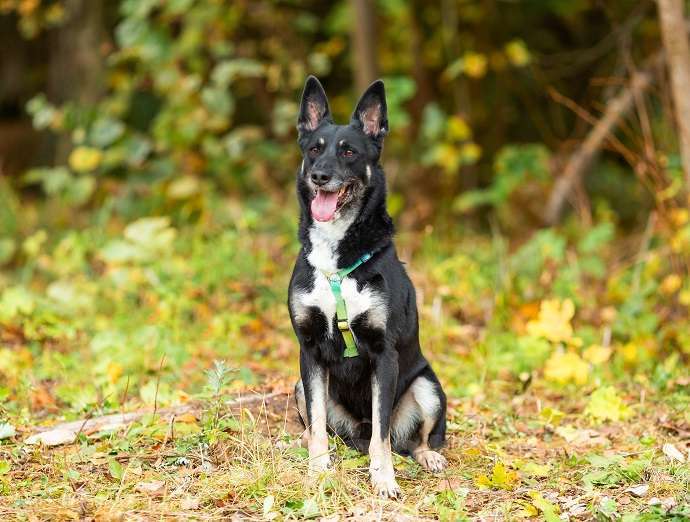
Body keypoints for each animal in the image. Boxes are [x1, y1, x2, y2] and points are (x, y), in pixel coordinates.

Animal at [288, 74, 446, 496]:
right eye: (314, 149)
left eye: (348, 152)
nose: (319, 176)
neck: (338, 257)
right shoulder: (309, 351)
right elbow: (318, 428)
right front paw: (318, 472)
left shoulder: (383, 353)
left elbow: (382, 433)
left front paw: (383, 479)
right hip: (298, 386)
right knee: (320, 427)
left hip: (427, 388)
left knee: (412, 438)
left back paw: (429, 456)